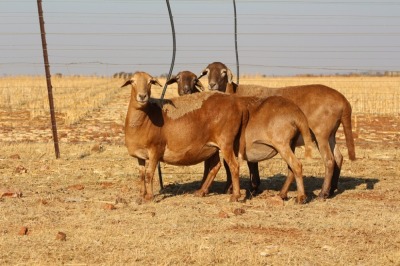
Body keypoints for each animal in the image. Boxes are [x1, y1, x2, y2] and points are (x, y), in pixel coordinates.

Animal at [200, 62, 356, 198]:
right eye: (207, 71)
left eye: (223, 72)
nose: (212, 85)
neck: (235, 92)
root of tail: (344, 101)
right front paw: (251, 188)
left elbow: (243, 164)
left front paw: (247, 188)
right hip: (331, 134)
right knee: (338, 158)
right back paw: (331, 190)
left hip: (320, 134)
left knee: (329, 160)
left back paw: (323, 193)